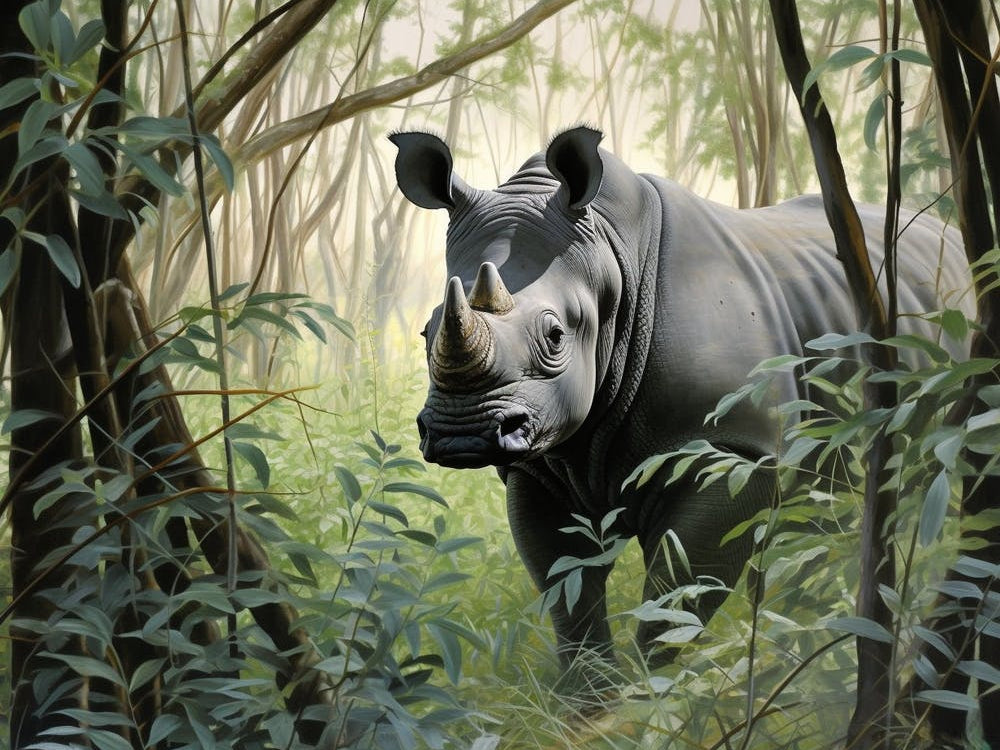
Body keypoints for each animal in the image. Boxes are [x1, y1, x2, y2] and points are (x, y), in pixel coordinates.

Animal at [390, 126, 972, 676]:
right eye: (425, 332)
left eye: (555, 336)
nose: (461, 434)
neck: (611, 261)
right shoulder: (540, 463)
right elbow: (568, 590)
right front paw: (588, 699)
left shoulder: (734, 449)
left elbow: (677, 595)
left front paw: (649, 697)